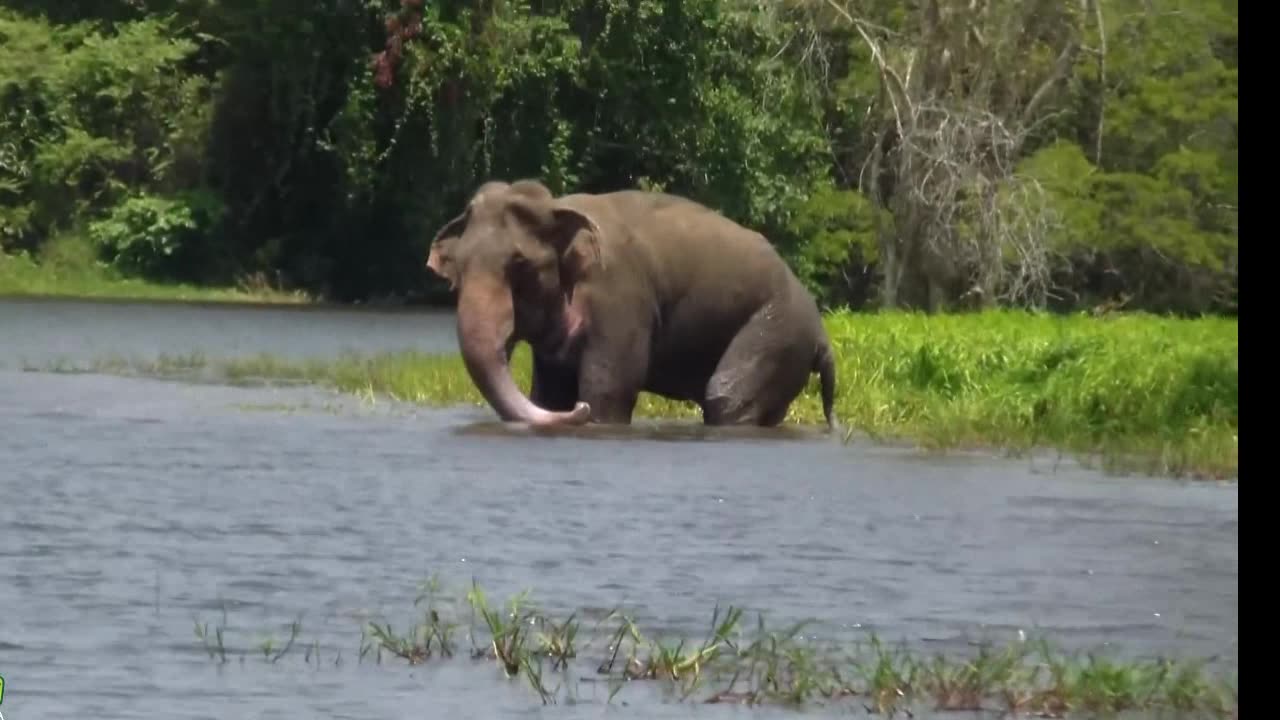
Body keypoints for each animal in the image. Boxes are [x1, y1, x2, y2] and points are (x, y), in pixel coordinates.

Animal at [424, 179, 834, 427]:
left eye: (520, 264)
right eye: (457, 267)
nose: (579, 412)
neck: (560, 206)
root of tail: (821, 333)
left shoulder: (620, 299)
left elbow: (608, 390)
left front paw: (589, 409)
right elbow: (551, 394)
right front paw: (565, 404)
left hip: (778, 332)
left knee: (726, 399)